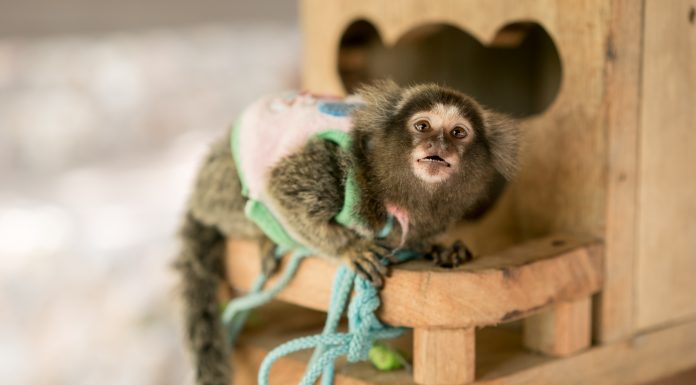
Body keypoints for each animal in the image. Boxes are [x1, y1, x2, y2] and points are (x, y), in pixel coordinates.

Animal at [177, 79, 520, 382]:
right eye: (422, 126)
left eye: (458, 132)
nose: (438, 145)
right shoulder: (335, 163)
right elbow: (283, 189)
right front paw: (349, 248)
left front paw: (438, 249)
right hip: (224, 185)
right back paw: (264, 236)